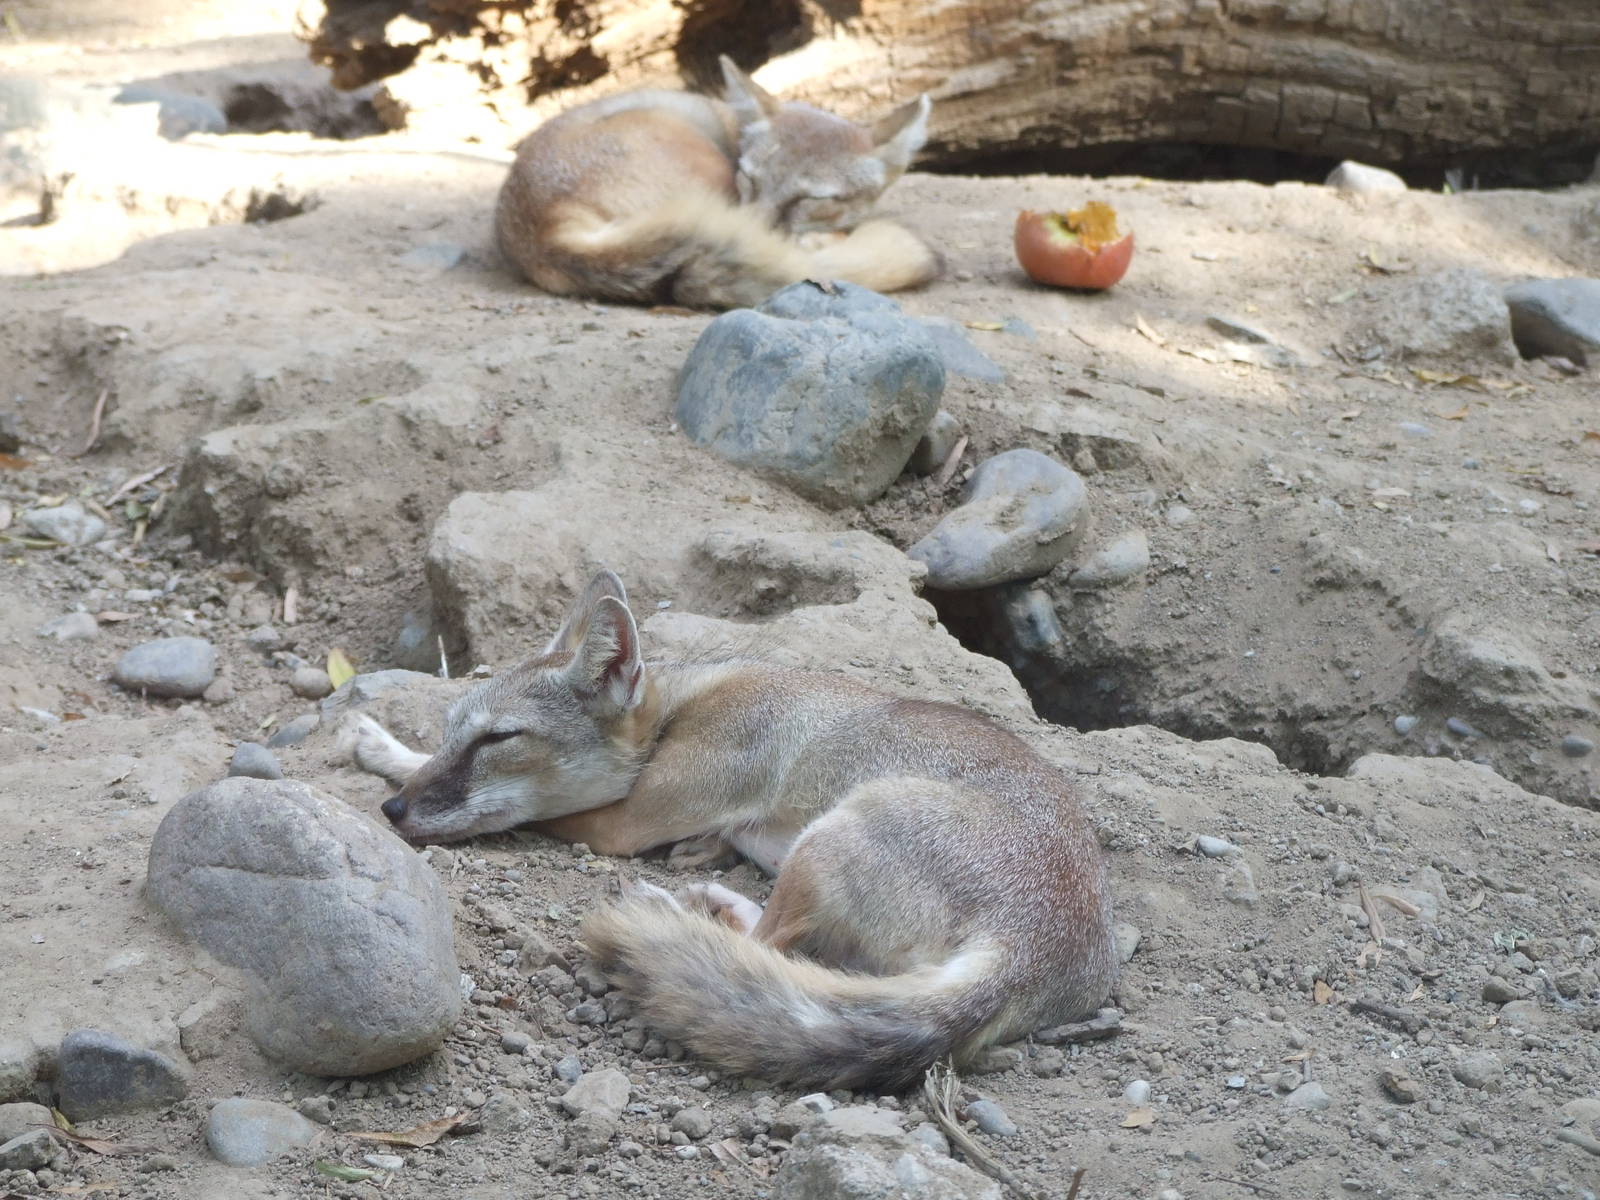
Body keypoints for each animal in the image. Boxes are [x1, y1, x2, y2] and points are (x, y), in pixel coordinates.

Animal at [346, 569, 1117, 1091]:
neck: (680, 711)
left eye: (498, 740)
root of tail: (1031, 951)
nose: (395, 814)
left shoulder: (626, 821)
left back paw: (680, 905)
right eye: (456, 732)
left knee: (770, 944)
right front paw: (384, 749)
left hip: (834, 830)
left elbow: (533, 811)